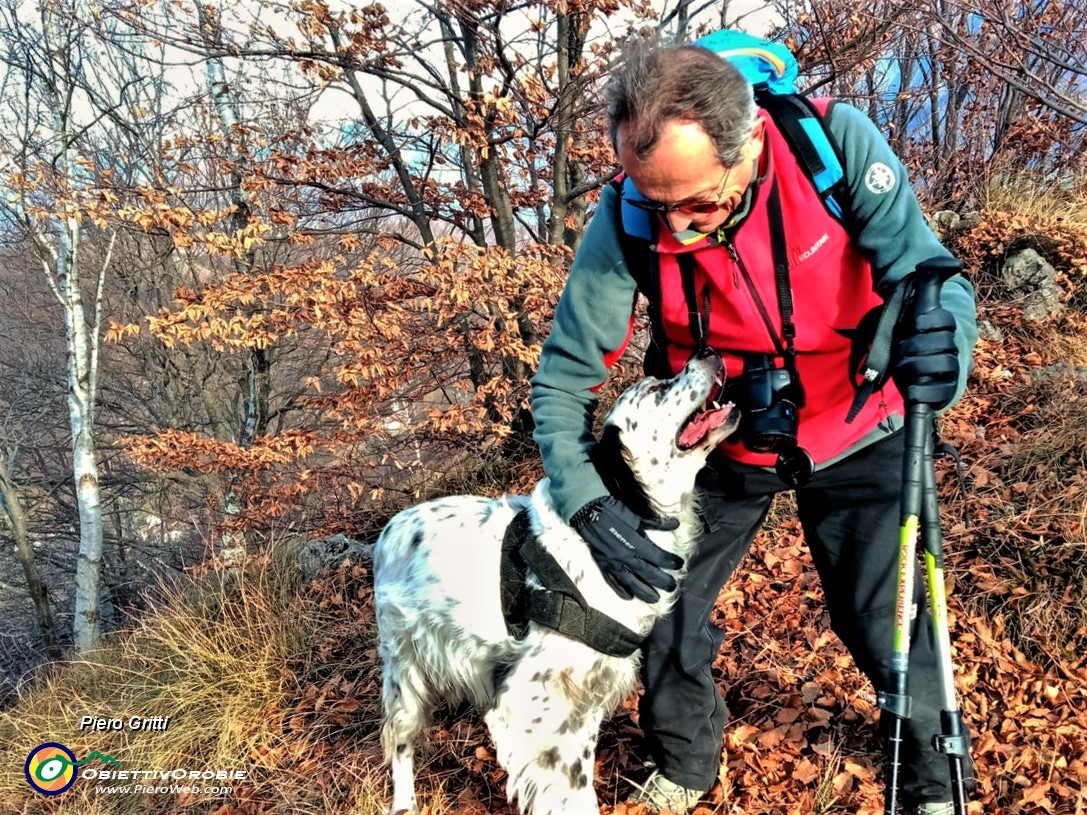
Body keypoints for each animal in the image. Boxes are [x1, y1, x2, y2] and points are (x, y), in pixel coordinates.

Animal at [373, 352, 739, 815]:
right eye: (656, 389)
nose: (708, 353)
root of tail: (390, 527)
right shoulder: (537, 704)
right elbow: (574, 793)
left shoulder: (585, 697)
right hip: (405, 672)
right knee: (400, 745)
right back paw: (405, 803)